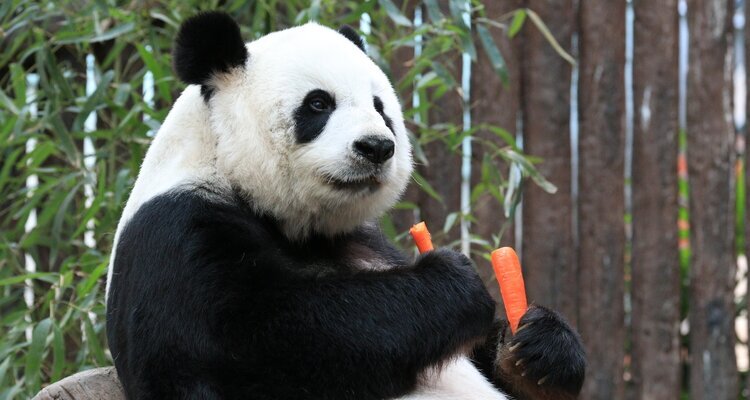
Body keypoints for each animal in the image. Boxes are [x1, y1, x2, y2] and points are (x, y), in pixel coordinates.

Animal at [106, 11, 585, 400]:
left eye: (380, 107)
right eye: (319, 103)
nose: (376, 147)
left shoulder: (364, 241)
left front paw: (539, 352)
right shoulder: (178, 237)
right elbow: (270, 337)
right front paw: (455, 281)